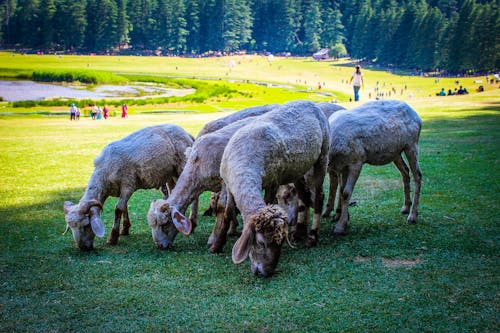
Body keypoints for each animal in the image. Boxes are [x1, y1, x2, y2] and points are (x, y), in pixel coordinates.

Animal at [63, 124, 195, 249]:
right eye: (71, 227)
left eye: (86, 225)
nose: (83, 248)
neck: (104, 174)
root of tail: (186, 132)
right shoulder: (120, 189)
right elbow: (124, 207)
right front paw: (125, 229)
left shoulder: (128, 185)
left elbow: (118, 209)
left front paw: (113, 237)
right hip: (170, 173)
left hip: (182, 165)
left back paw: (192, 222)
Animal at [218, 100, 328, 276]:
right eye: (261, 243)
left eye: (280, 243)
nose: (267, 272)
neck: (245, 164)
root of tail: (309, 102)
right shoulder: (229, 185)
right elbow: (228, 212)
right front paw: (217, 244)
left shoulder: (273, 180)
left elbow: (268, 199)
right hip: (296, 169)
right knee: (304, 195)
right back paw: (299, 232)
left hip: (323, 155)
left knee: (318, 196)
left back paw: (312, 237)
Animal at [326, 100, 424, 235]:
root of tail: (415, 113)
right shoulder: (343, 166)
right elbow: (341, 191)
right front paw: (341, 217)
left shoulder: (356, 161)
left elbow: (346, 193)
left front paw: (340, 227)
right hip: (396, 152)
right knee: (405, 171)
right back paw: (405, 207)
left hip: (411, 145)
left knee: (418, 175)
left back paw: (413, 216)